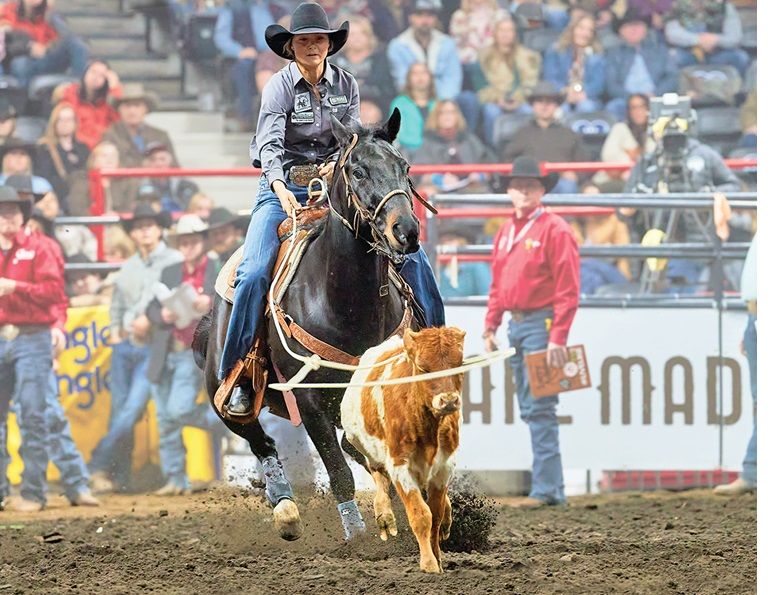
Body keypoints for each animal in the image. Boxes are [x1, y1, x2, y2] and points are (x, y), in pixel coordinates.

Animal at [192, 109, 420, 544]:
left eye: (405, 167)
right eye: (358, 170)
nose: (407, 231)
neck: (346, 302)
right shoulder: (311, 401)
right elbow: (339, 471)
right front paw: (358, 536)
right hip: (222, 392)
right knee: (260, 440)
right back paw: (285, 507)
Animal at [340, 328, 462, 576]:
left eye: (459, 363)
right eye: (423, 368)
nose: (449, 401)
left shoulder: (444, 468)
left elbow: (435, 515)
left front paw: (438, 558)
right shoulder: (400, 465)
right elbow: (420, 514)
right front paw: (428, 564)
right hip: (363, 445)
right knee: (377, 474)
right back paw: (384, 515)